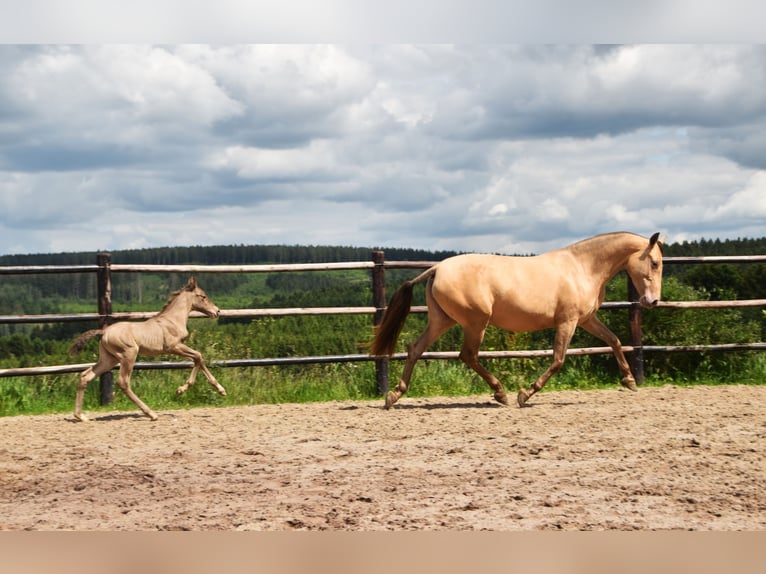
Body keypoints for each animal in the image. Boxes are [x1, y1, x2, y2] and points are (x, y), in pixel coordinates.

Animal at [69, 276, 226, 420]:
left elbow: (198, 359)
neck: (172, 320)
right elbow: (198, 356)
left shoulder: (178, 347)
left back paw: (80, 416)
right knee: (123, 382)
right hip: (129, 354)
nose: (217, 311)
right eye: (203, 296)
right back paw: (151, 413)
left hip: (109, 359)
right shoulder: (174, 346)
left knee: (85, 376)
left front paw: (219, 390)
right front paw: (182, 390)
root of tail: (104, 332)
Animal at [372, 232, 664, 412]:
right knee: (468, 355)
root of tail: (437, 268)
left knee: (416, 348)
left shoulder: (586, 320)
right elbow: (558, 360)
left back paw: (394, 395)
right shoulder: (567, 322)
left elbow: (614, 340)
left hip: (442, 320)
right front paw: (526, 394)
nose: (653, 301)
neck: (582, 268)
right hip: (475, 322)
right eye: (654, 262)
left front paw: (629, 380)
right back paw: (501, 393)